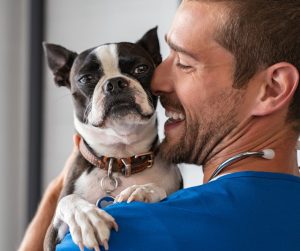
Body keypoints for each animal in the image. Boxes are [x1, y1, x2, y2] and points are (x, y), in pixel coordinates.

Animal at [43, 26, 182, 250]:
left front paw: (143, 190)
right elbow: (69, 200)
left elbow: (160, 189)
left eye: (141, 69)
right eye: (86, 79)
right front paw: (87, 218)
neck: (120, 158)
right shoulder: (51, 234)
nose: (115, 83)